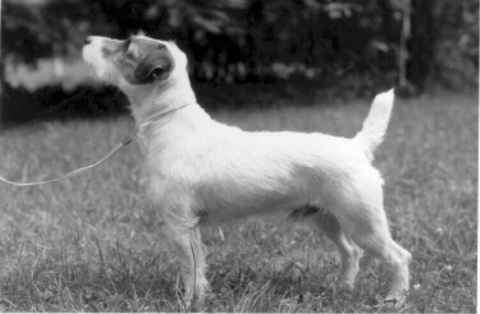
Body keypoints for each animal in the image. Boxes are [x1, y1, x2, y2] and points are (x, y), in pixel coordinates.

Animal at [81, 33, 408, 308]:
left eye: (126, 46)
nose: (88, 39)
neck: (172, 124)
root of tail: (356, 146)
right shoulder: (190, 227)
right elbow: (199, 268)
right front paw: (199, 298)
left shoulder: (180, 225)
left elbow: (191, 270)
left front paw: (188, 303)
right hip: (327, 219)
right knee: (351, 252)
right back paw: (343, 289)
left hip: (363, 222)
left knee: (399, 256)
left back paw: (394, 299)